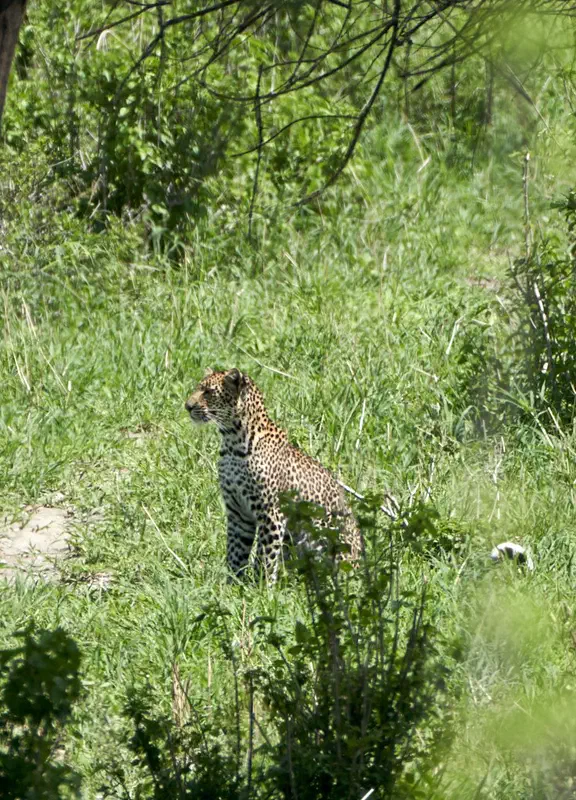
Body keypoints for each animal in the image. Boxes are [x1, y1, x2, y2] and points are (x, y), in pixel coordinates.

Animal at [185, 368, 363, 582]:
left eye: (208, 392)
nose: (187, 406)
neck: (232, 442)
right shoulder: (238, 513)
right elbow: (235, 552)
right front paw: (233, 584)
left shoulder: (271, 513)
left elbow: (265, 557)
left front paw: (260, 587)